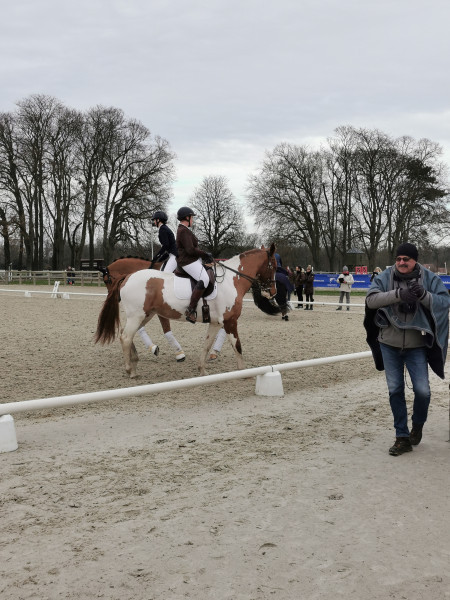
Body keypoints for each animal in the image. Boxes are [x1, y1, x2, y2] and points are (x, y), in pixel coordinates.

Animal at [95, 244, 281, 378]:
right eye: (273, 266)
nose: (272, 292)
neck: (232, 279)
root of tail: (128, 277)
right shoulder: (229, 321)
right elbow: (237, 346)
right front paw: (244, 372)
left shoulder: (215, 323)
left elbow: (207, 345)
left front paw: (202, 370)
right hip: (137, 316)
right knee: (126, 337)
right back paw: (130, 370)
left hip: (145, 315)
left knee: (128, 335)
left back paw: (134, 363)